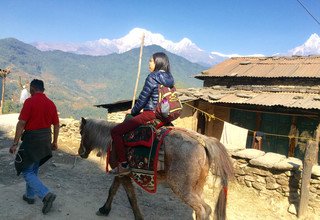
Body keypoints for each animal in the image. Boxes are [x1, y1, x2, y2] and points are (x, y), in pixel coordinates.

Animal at [77, 117, 232, 219]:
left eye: (81, 133)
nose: (80, 153)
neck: (113, 140)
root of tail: (202, 143)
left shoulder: (124, 175)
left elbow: (131, 197)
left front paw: (138, 217)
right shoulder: (121, 173)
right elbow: (112, 190)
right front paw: (104, 209)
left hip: (182, 188)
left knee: (201, 209)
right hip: (197, 187)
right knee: (207, 208)